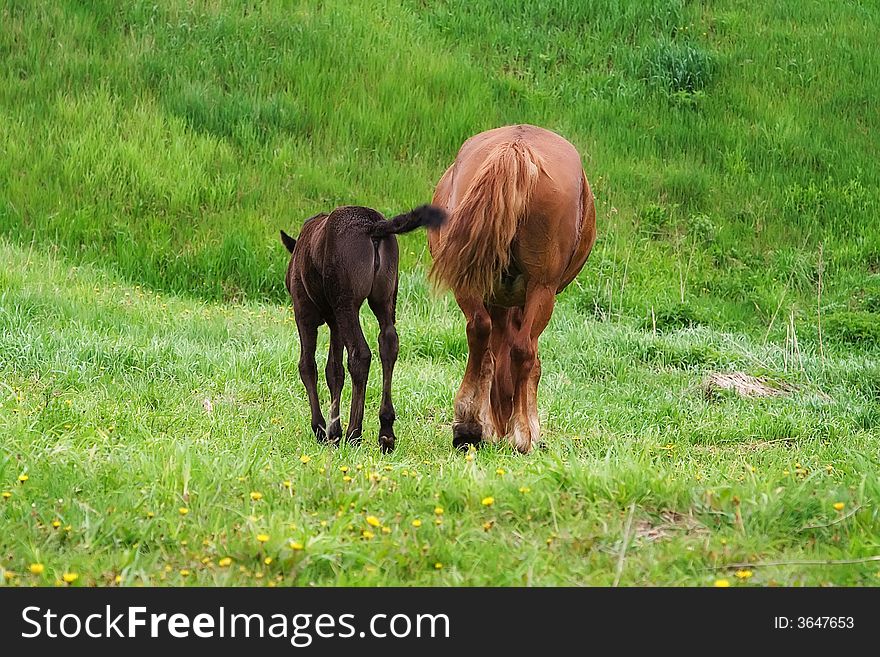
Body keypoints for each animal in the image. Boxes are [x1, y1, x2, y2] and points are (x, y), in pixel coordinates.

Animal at [282, 205, 446, 452]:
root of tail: (374, 226)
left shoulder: (304, 313)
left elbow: (308, 366)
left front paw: (321, 428)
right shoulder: (334, 321)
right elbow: (334, 371)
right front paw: (334, 430)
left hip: (346, 302)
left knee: (360, 354)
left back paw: (354, 432)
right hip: (384, 297)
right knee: (388, 344)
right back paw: (386, 430)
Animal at [428, 124, 596, 452]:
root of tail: (516, 147)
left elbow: (492, 352)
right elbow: (530, 362)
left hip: (468, 281)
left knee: (479, 330)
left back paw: (468, 424)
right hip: (543, 288)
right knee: (522, 349)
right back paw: (518, 433)